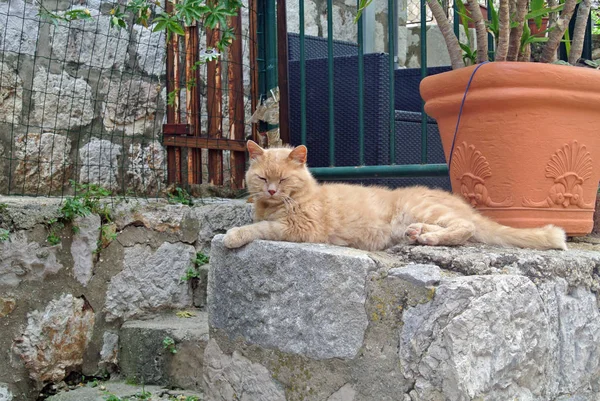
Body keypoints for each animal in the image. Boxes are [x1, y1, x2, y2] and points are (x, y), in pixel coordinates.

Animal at [224, 139, 568, 248]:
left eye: (282, 180)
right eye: (262, 178)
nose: (270, 190)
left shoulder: (300, 228)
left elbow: (261, 228)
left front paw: (233, 234)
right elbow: (259, 223)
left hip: (422, 207)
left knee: (465, 228)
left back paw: (430, 238)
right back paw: (420, 234)